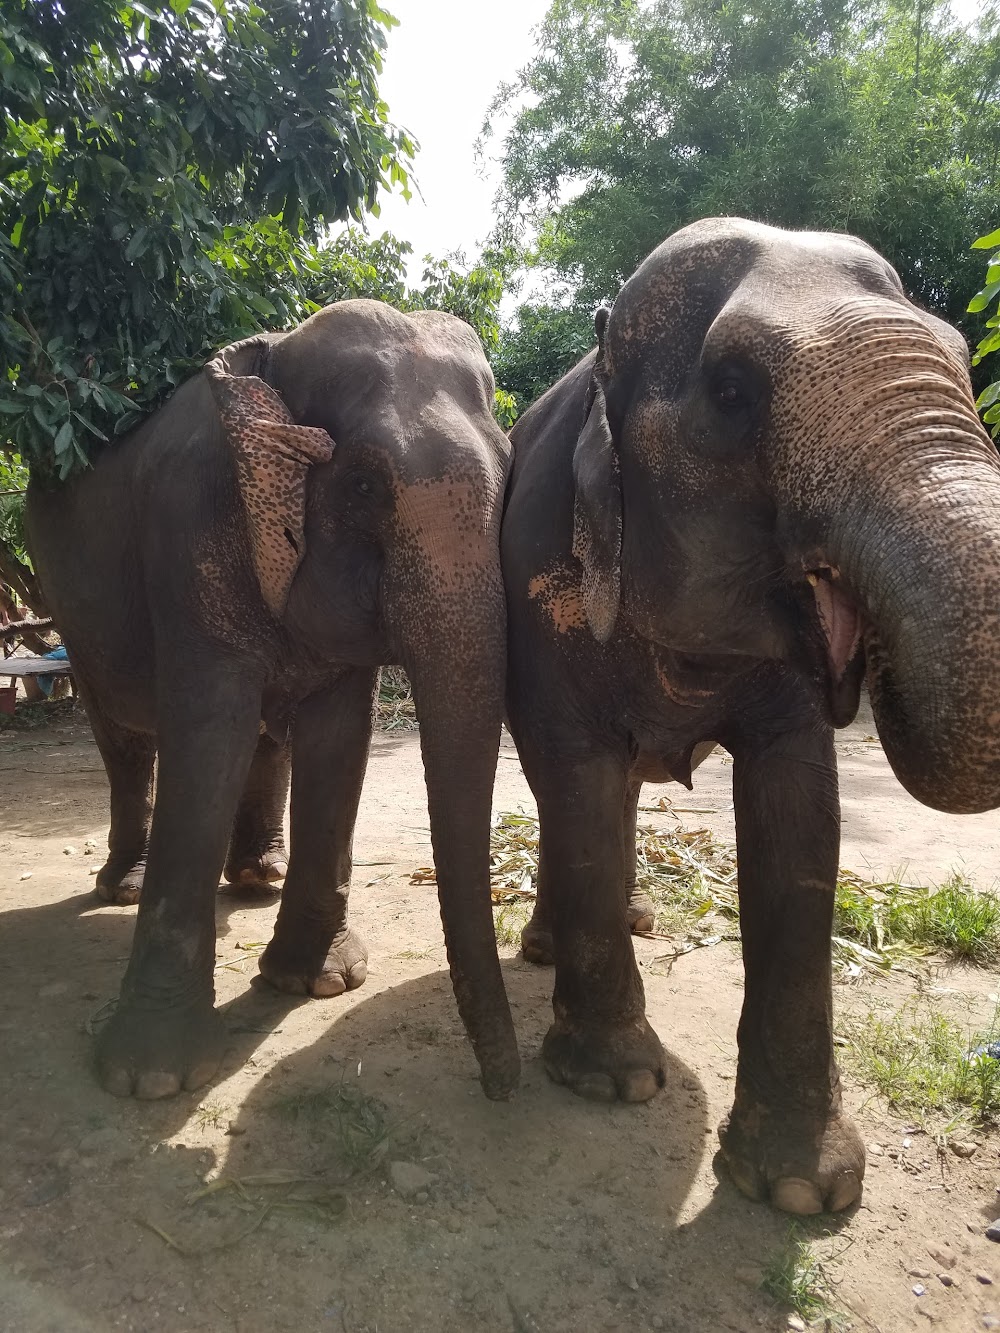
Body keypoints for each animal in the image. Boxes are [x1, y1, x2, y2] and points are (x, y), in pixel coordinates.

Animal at [27, 302, 520, 1103]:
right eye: (363, 487)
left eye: (510, 477)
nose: (501, 1089)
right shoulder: (188, 531)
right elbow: (208, 733)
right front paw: (149, 1078)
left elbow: (338, 737)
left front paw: (318, 984)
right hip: (68, 609)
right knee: (125, 736)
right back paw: (123, 887)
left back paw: (259, 879)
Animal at [504, 218, 1000, 1221]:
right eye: (733, 392)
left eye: (965, 356)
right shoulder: (547, 582)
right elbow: (575, 773)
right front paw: (616, 1081)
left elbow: (799, 810)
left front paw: (804, 1192)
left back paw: (627, 922)